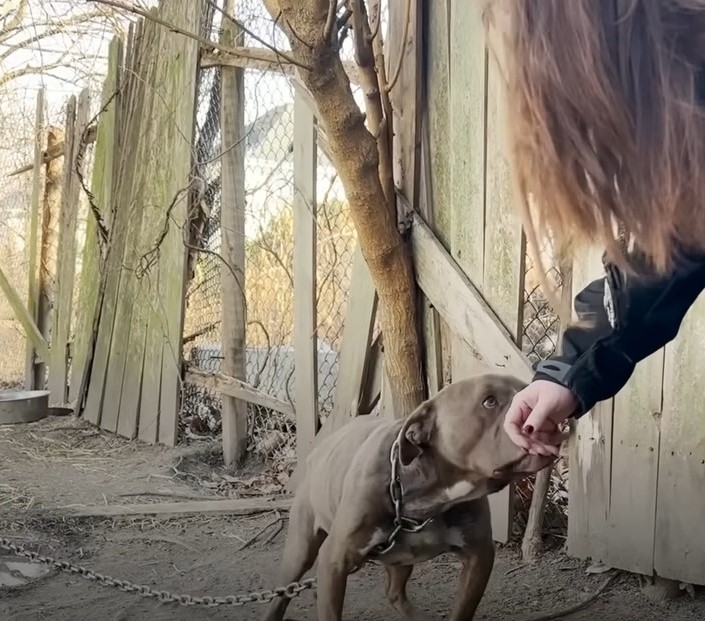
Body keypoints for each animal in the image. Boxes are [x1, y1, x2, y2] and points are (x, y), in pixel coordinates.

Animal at [264, 372, 556, 620]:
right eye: (489, 401)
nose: (542, 409)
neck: (429, 499)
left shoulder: (479, 556)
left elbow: (462, 610)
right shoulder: (335, 560)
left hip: (400, 558)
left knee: (394, 592)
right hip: (301, 547)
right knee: (282, 593)